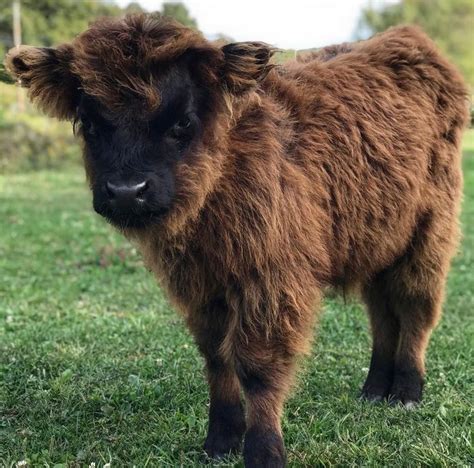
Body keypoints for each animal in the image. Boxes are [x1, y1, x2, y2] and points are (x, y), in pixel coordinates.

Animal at [5, 15, 468, 468]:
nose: (125, 191)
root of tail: (408, 39)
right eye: (89, 123)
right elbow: (216, 357)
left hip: (428, 234)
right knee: (383, 315)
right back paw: (374, 389)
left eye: (182, 121)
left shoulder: (271, 280)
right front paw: (221, 440)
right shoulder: (200, 285)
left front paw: (264, 450)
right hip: (377, 238)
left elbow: (257, 367)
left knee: (415, 308)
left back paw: (406, 391)